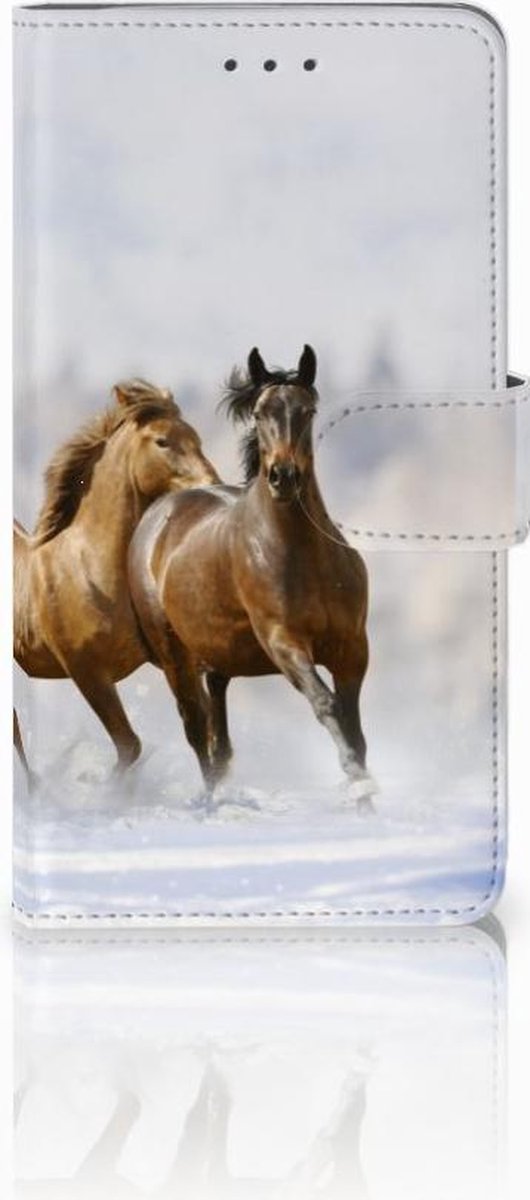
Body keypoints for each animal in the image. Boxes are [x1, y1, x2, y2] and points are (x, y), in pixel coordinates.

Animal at [14, 379, 219, 777]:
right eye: (162, 441)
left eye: (196, 437)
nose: (211, 484)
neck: (91, 570)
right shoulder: (87, 671)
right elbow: (129, 746)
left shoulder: (171, 659)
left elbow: (202, 729)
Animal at [128, 346, 376, 803]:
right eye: (260, 413)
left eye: (308, 410)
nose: (283, 476)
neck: (304, 557)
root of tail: (158, 513)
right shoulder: (284, 642)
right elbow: (326, 704)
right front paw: (356, 779)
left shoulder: (353, 648)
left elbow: (353, 725)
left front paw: (364, 795)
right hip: (174, 655)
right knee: (196, 729)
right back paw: (209, 801)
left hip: (217, 655)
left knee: (218, 735)